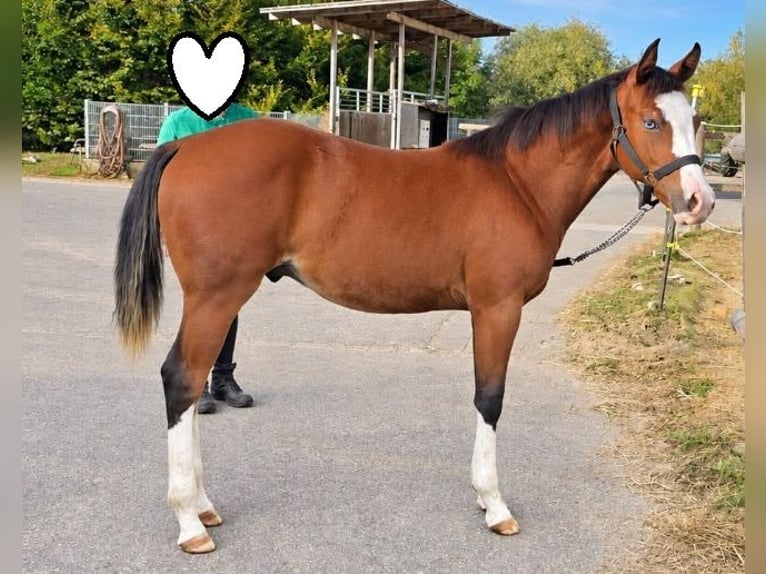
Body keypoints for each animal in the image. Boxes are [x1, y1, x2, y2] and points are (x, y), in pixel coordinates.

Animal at [114, 39, 715, 553]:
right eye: (651, 121)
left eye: (696, 121)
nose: (699, 202)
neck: (516, 183)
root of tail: (184, 147)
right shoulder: (497, 309)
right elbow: (489, 399)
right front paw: (494, 505)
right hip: (216, 296)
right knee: (181, 380)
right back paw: (190, 520)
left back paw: (203, 506)